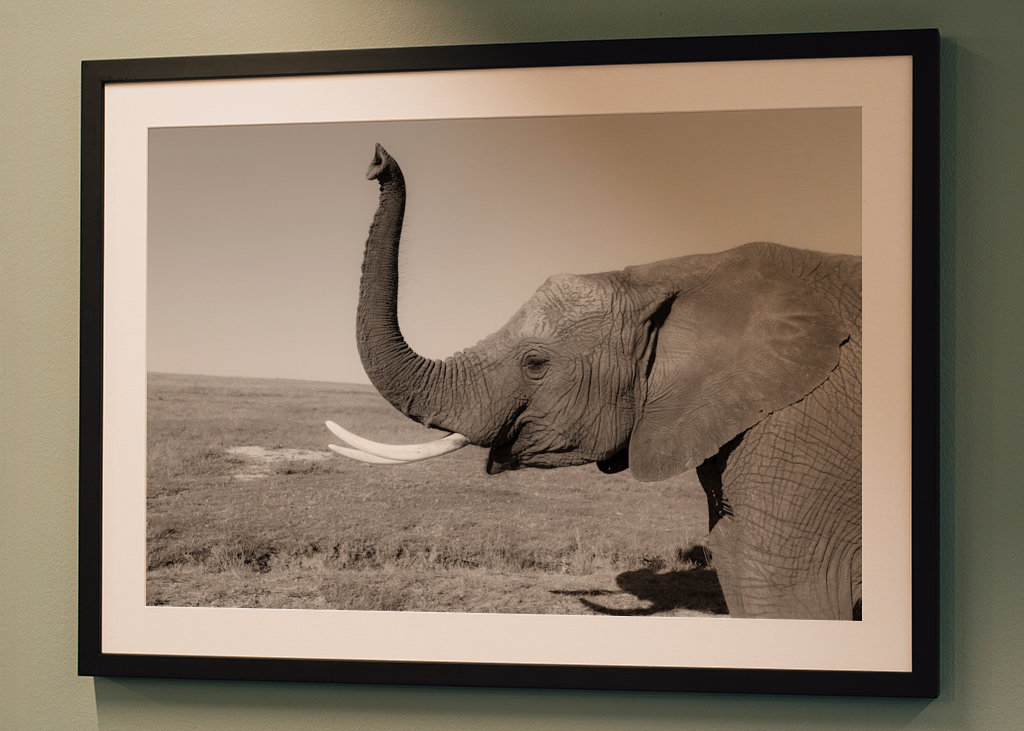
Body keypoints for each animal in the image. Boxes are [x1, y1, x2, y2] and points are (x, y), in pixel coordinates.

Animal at [328, 143, 862, 621]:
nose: (377, 160)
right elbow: (735, 558)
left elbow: (782, 586)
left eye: (536, 363)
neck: (678, 275)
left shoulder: (802, 429)